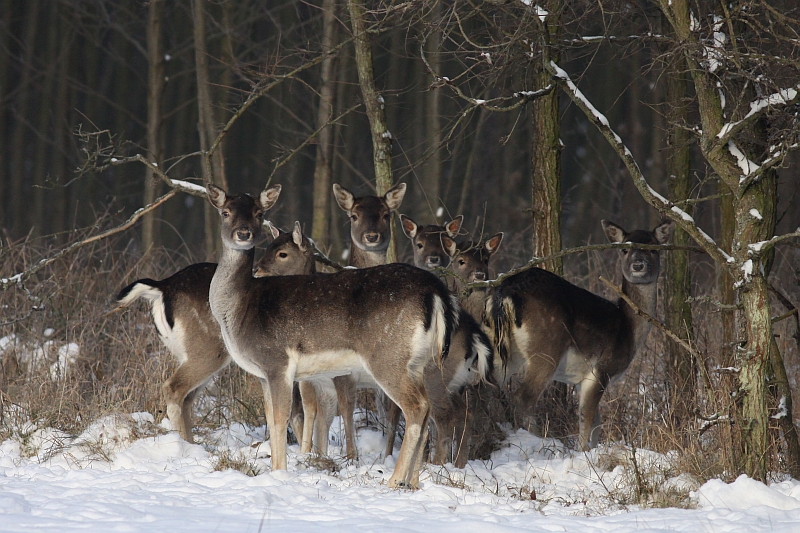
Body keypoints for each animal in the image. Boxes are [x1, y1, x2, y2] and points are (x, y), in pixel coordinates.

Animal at [115, 218, 316, 442]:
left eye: (282, 253)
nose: (257, 271)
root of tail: (163, 287)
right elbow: (301, 412)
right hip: (208, 349)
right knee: (174, 388)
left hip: (186, 352)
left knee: (187, 397)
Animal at [206, 183, 460, 486]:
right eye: (225, 212)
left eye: (258, 213)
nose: (243, 233)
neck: (238, 310)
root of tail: (436, 292)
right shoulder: (263, 373)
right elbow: (272, 418)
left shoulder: (277, 361)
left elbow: (280, 420)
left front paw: (279, 473)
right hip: (420, 361)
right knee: (428, 409)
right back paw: (413, 482)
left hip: (388, 355)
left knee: (417, 406)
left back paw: (394, 480)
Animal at [488, 219, 676, 448]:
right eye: (624, 249)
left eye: (653, 249)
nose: (638, 265)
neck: (628, 328)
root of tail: (505, 293)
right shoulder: (601, 369)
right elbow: (587, 420)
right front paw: (583, 451)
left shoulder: (579, 381)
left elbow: (595, 423)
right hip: (546, 349)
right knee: (523, 398)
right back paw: (537, 440)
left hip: (499, 346)